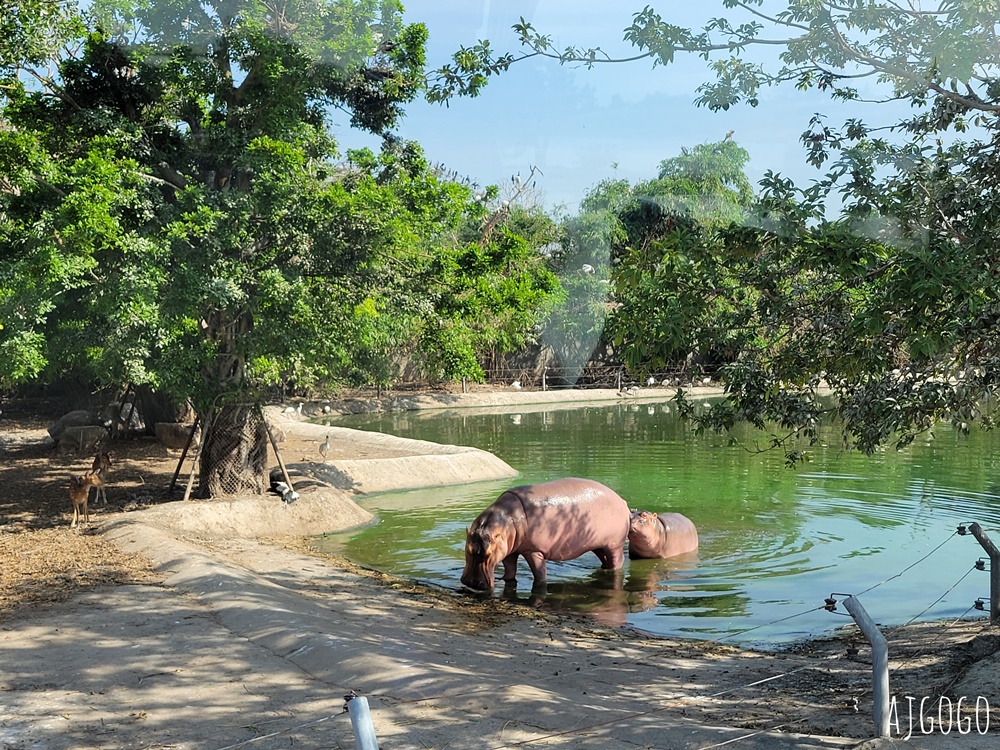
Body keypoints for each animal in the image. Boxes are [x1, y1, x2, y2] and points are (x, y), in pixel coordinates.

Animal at [458, 478, 628, 592]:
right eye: (467, 549)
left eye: (488, 553)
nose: (473, 583)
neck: (508, 518)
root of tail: (622, 500)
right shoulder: (508, 550)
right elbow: (510, 568)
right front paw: (504, 579)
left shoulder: (533, 551)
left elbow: (539, 572)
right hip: (598, 544)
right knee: (604, 558)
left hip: (615, 545)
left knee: (617, 561)